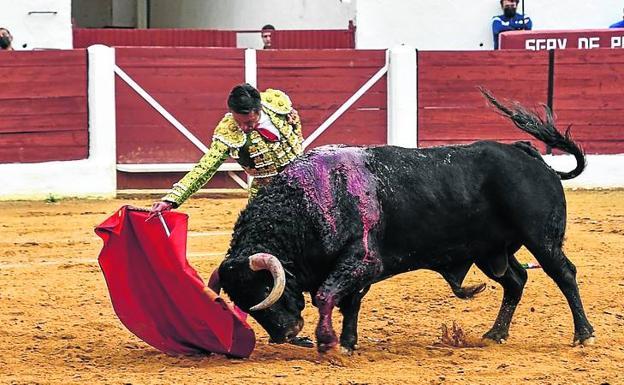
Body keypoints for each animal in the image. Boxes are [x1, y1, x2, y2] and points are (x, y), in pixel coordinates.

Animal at [210, 89, 596, 352]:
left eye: (264, 289)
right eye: (242, 301)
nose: (285, 335)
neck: (311, 201)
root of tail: (526, 153)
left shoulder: (360, 260)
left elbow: (326, 296)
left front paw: (328, 343)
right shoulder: (355, 269)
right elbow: (349, 302)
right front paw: (348, 342)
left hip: (541, 238)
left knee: (563, 273)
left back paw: (583, 334)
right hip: (489, 251)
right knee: (515, 281)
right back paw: (495, 334)